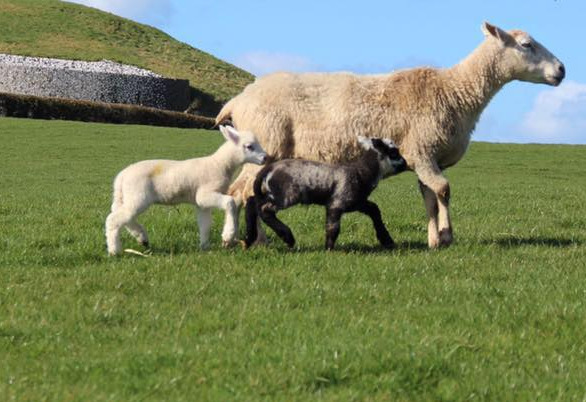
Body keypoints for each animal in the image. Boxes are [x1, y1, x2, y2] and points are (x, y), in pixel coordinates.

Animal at [104, 125, 266, 256]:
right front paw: (228, 235)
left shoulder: (201, 203)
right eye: (249, 146)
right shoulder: (205, 193)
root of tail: (121, 176)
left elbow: (205, 224)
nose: (265, 158)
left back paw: (141, 238)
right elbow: (230, 202)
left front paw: (205, 247)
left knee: (122, 215)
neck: (219, 164)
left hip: (127, 196)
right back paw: (114, 251)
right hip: (138, 195)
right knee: (114, 219)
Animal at [217, 22, 564, 250]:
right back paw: (245, 240)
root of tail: (238, 99)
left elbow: (429, 196)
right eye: (526, 45)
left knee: (248, 194)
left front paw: (433, 239)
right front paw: (447, 235)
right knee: (241, 193)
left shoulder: (428, 156)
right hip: (265, 146)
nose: (562, 69)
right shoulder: (420, 148)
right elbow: (444, 190)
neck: (455, 93)